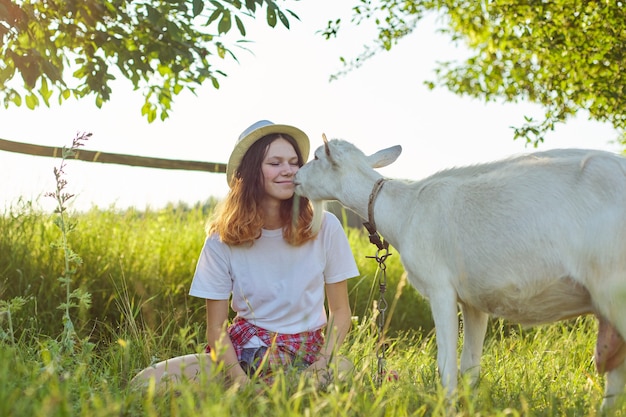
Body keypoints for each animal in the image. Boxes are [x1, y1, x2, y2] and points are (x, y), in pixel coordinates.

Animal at [294, 136, 624, 406]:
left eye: (317, 158)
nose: (295, 177)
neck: (406, 210)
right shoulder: (474, 301)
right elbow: (470, 368)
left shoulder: (440, 287)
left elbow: (446, 365)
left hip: (615, 288)